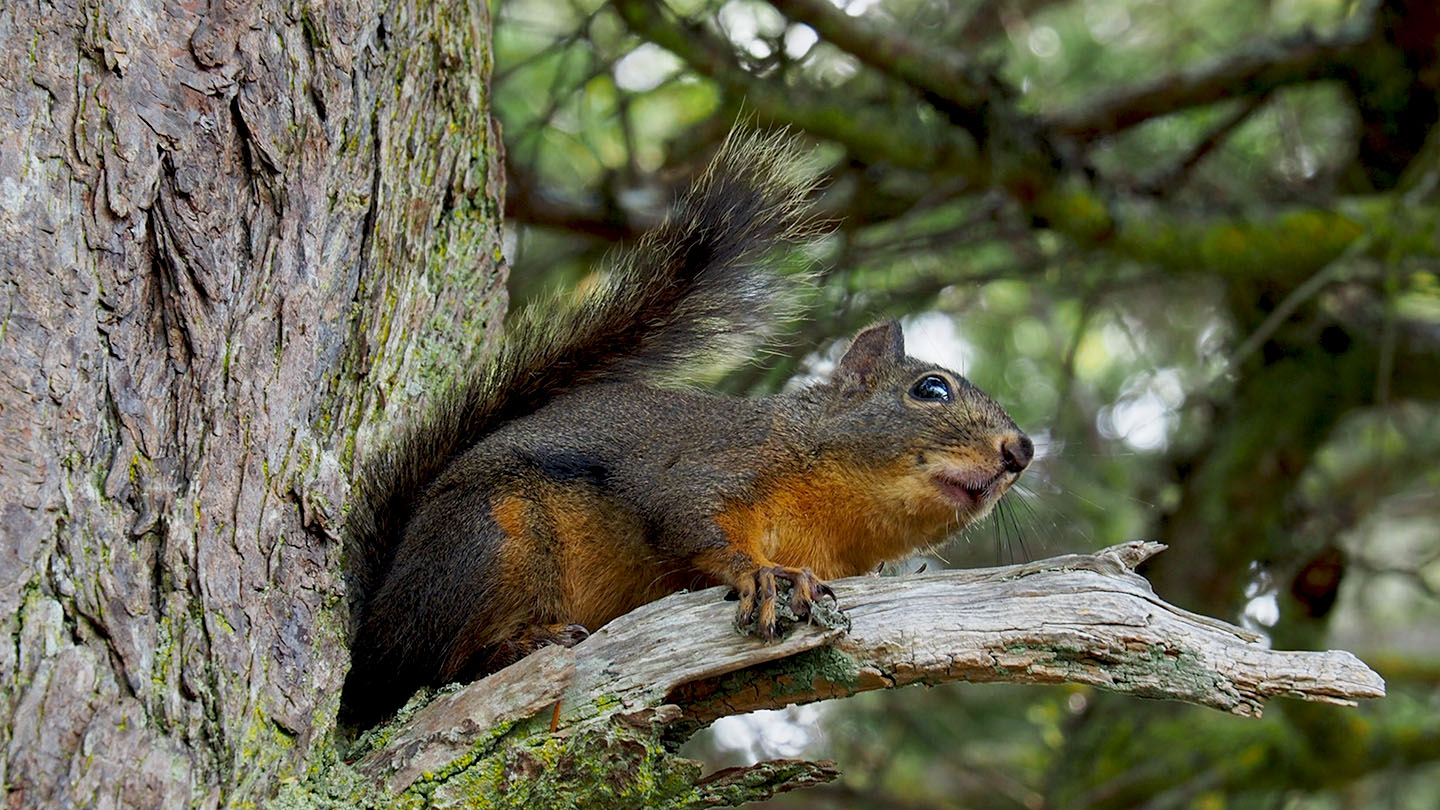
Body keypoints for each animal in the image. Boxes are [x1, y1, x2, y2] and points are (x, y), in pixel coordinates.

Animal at [336, 128, 1036, 720]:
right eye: (931, 389)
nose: (1022, 451)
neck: (836, 507)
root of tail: (376, 626)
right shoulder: (718, 461)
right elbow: (685, 517)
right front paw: (764, 573)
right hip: (488, 542)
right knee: (428, 670)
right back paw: (517, 646)